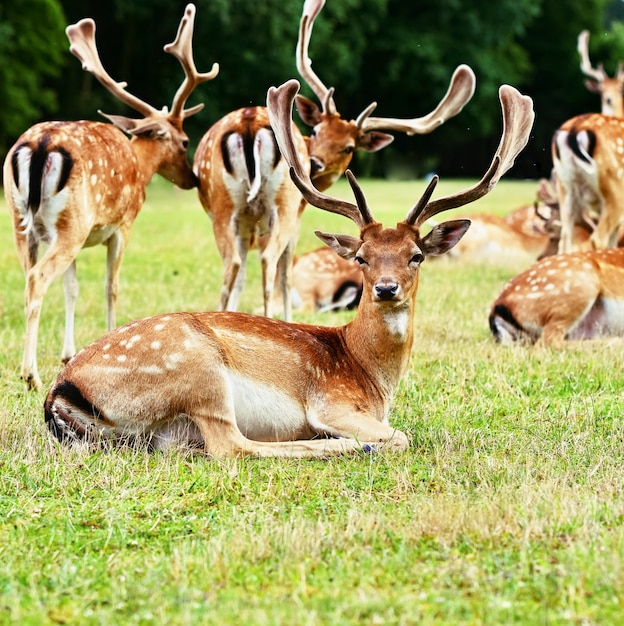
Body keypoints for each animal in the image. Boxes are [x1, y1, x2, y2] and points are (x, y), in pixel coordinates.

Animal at [3, 3, 218, 390]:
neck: (139, 165)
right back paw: (31, 376)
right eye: (183, 141)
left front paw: (69, 354)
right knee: (38, 279)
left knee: (29, 277)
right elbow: (111, 286)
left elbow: (72, 288)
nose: (192, 178)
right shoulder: (122, 226)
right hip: (69, 224)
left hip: (27, 223)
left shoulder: (79, 236)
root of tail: (41, 145)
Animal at [42, 78, 532, 458]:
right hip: (197, 368)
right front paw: (360, 439)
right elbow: (401, 435)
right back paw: (345, 446)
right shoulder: (331, 401)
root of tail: (60, 390)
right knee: (233, 447)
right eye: (361, 257)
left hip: (155, 430)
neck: (372, 377)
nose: (386, 288)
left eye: (416, 254)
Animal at [193, 0, 476, 322]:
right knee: (262, 262)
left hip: (236, 207)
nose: (314, 163)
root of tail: (248, 123)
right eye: (316, 130)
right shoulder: (291, 217)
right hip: (271, 207)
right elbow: (276, 274)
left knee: (239, 264)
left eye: (348, 147)